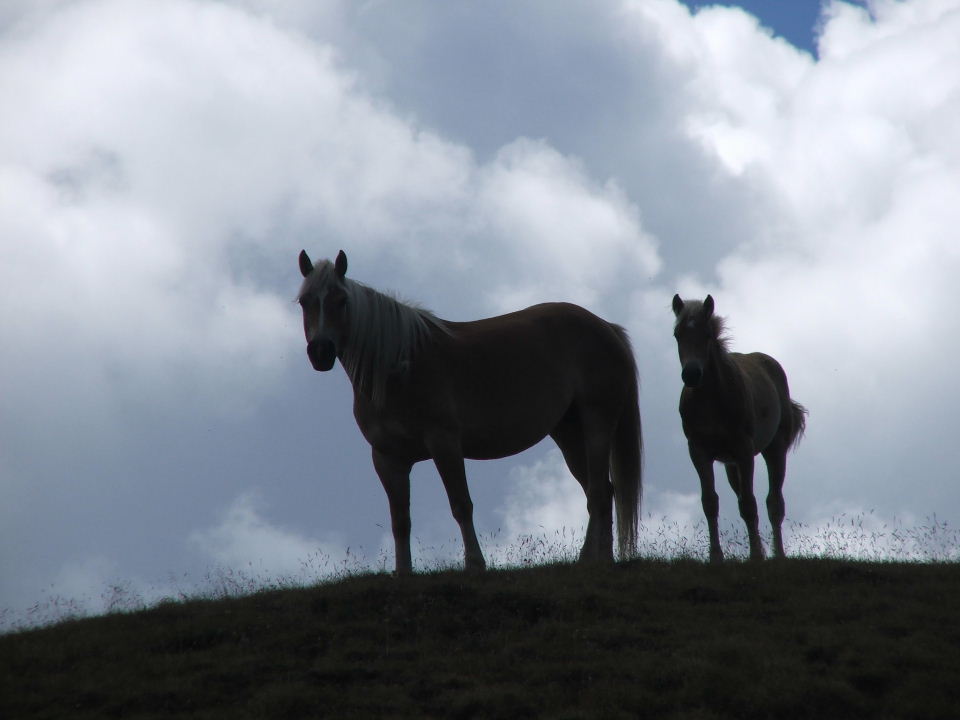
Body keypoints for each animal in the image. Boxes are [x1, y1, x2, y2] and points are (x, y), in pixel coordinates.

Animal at [297, 249, 643, 573]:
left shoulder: (444, 443)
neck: (398, 368)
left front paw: (475, 564)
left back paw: (596, 560)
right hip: (568, 433)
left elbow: (461, 505)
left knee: (599, 492)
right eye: (304, 301)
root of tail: (606, 327)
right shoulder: (387, 458)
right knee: (601, 492)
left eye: (341, 301)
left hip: (597, 421)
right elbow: (400, 520)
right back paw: (597, 559)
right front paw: (403, 572)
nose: (321, 352)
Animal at [671, 294, 806, 562]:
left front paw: (755, 556)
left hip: (774, 450)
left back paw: (778, 555)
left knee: (774, 502)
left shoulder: (744, 451)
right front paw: (716, 556)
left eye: (707, 335)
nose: (691, 374)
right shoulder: (698, 452)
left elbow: (749, 505)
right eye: (677, 334)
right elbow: (710, 502)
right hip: (731, 465)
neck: (712, 400)